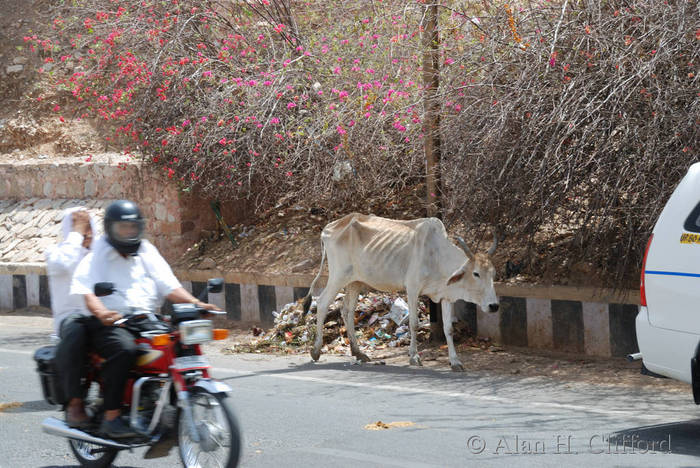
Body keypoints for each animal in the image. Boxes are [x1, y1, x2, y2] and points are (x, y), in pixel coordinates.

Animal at [300, 214, 498, 372]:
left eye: (493, 273)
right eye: (476, 273)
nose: (494, 306)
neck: (437, 256)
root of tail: (330, 227)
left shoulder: (446, 296)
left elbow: (448, 329)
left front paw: (455, 362)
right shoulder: (412, 289)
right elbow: (414, 324)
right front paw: (414, 357)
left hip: (355, 281)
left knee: (347, 311)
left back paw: (358, 352)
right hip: (338, 276)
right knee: (323, 303)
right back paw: (316, 350)